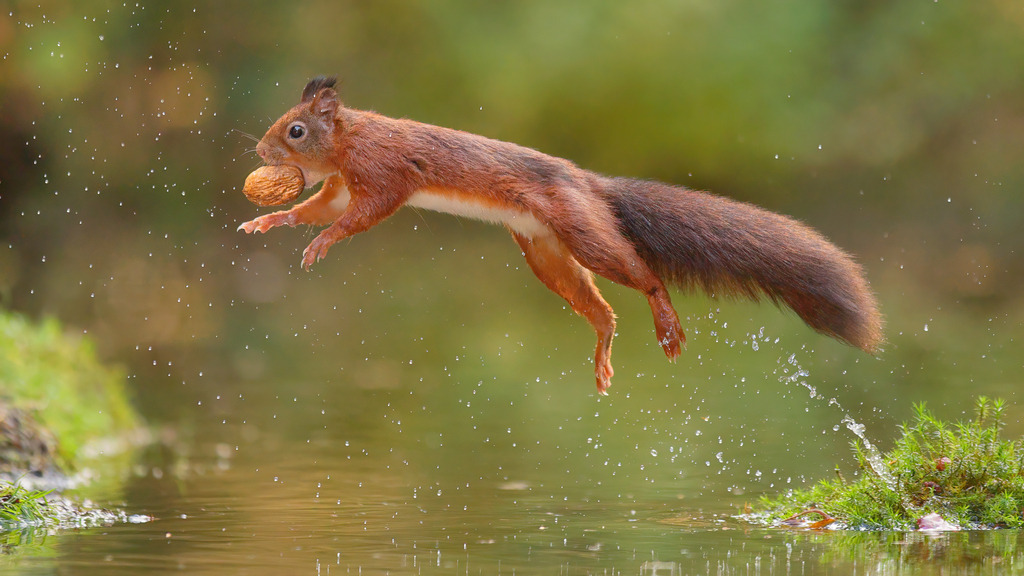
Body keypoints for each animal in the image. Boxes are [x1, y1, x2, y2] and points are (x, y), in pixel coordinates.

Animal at [239, 77, 883, 394]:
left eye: (295, 131)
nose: (261, 153)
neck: (351, 141)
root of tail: (592, 185)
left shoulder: (386, 173)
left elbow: (360, 215)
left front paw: (323, 242)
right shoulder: (340, 185)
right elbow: (321, 208)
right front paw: (271, 221)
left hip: (584, 232)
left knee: (644, 275)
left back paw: (666, 321)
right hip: (546, 254)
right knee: (600, 309)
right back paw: (603, 348)